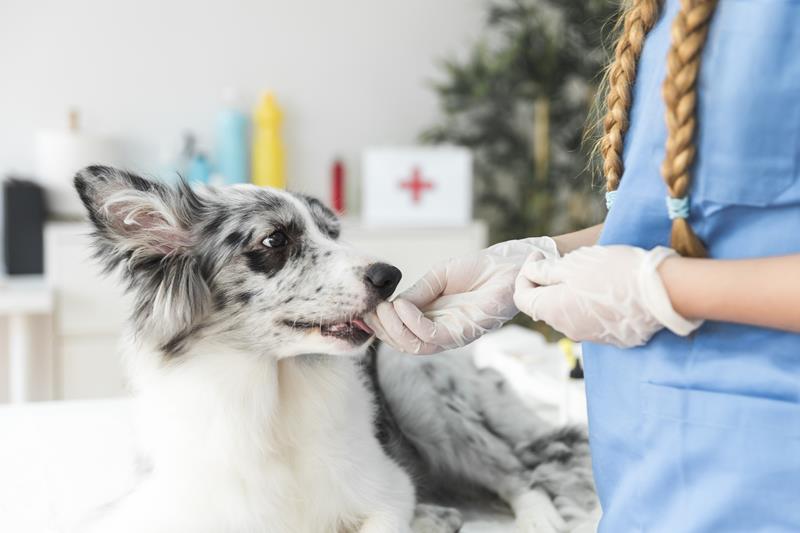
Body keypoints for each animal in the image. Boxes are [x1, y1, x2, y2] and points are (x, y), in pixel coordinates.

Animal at [75, 164, 596, 528]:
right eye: (275, 239)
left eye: (333, 232)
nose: (391, 276)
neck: (270, 396)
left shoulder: (388, 489)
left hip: (418, 391)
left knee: (516, 473)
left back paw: (536, 517)